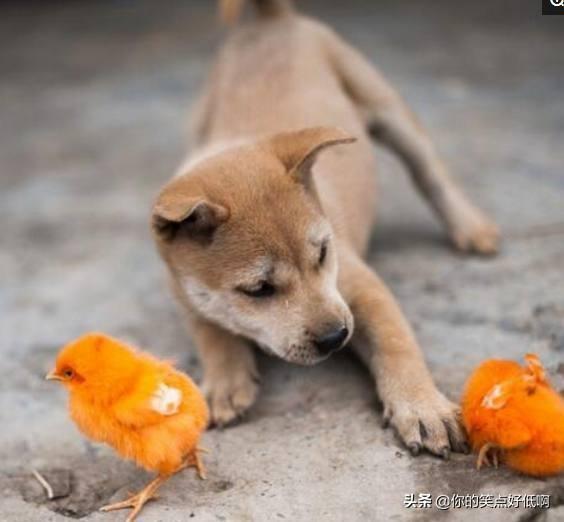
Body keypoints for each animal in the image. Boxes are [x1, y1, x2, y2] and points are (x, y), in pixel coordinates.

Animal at [152, 0, 500, 456]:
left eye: (322, 253)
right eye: (258, 290)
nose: (337, 337)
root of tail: (271, 20)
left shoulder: (360, 287)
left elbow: (396, 343)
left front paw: (421, 406)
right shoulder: (182, 290)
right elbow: (210, 329)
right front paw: (225, 380)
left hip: (384, 104)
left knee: (429, 172)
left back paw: (470, 226)